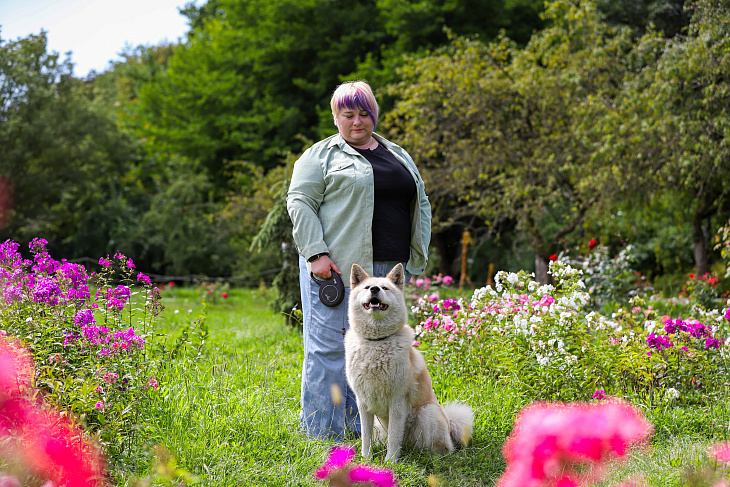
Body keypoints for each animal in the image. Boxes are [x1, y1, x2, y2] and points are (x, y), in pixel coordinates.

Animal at [344, 264, 474, 464]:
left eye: (385, 288)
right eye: (367, 287)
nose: (374, 289)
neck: (376, 343)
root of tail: (450, 427)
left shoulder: (397, 401)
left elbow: (393, 437)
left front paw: (390, 462)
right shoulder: (363, 403)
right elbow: (366, 437)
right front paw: (366, 459)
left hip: (426, 412)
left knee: (441, 448)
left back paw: (428, 456)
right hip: (381, 426)